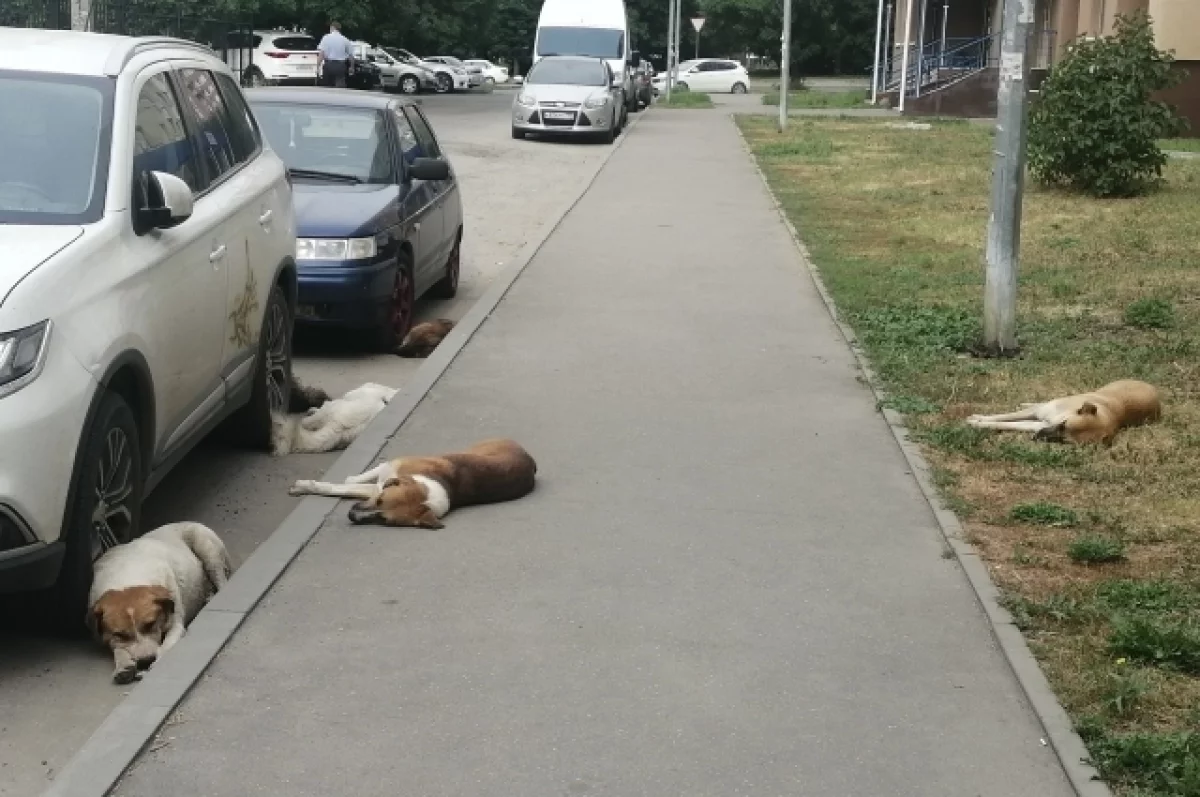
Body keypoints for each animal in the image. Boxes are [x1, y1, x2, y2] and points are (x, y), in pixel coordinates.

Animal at [88, 523, 231, 686]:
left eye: (150, 624)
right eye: (120, 634)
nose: (145, 661)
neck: (127, 577)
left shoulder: (175, 625)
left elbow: (166, 647)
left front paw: (154, 665)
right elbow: (117, 647)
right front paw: (123, 664)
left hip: (207, 549)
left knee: (221, 580)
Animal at [285, 436, 535, 528]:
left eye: (385, 520)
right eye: (379, 501)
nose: (351, 516)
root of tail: (531, 463)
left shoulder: (380, 482)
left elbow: (343, 488)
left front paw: (307, 486)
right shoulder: (388, 471)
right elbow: (351, 483)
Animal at [964, 379, 1161, 444]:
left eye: (1065, 439)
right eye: (1063, 425)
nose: (1037, 437)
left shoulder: (1037, 423)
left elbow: (1009, 424)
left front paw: (979, 423)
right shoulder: (1042, 415)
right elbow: (1003, 416)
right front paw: (977, 418)